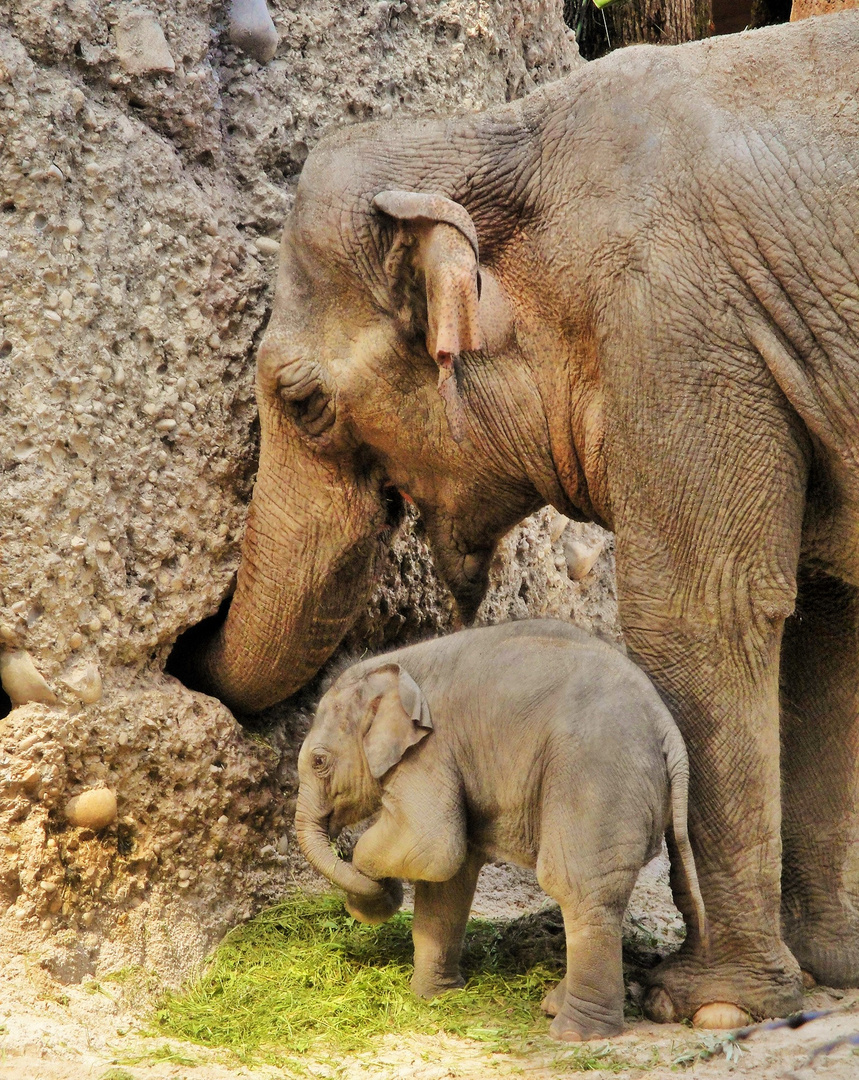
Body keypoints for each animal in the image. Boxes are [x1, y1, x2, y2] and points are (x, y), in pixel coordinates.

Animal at [296, 622, 704, 1041]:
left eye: (319, 761)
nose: (381, 893)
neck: (390, 665)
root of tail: (668, 731)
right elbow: (449, 879)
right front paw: (435, 998)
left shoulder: (430, 751)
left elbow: (431, 845)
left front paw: (373, 896)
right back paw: (555, 1007)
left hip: (598, 777)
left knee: (576, 885)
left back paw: (574, 1033)